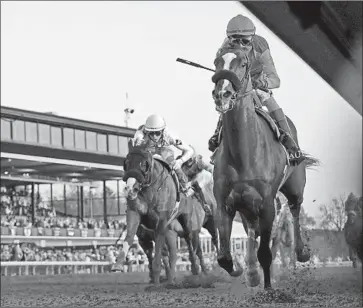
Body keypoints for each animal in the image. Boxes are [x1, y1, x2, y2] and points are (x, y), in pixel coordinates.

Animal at [212, 47, 320, 290]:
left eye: (243, 63)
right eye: (216, 62)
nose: (222, 94)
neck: (243, 153)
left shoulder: (268, 205)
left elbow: (266, 253)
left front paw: (269, 289)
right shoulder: (225, 203)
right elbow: (224, 256)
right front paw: (240, 269)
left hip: (294, 188)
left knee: (295, 209)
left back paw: (301, 252)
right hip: (246, 208)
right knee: (253, 231)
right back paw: (252, 272)